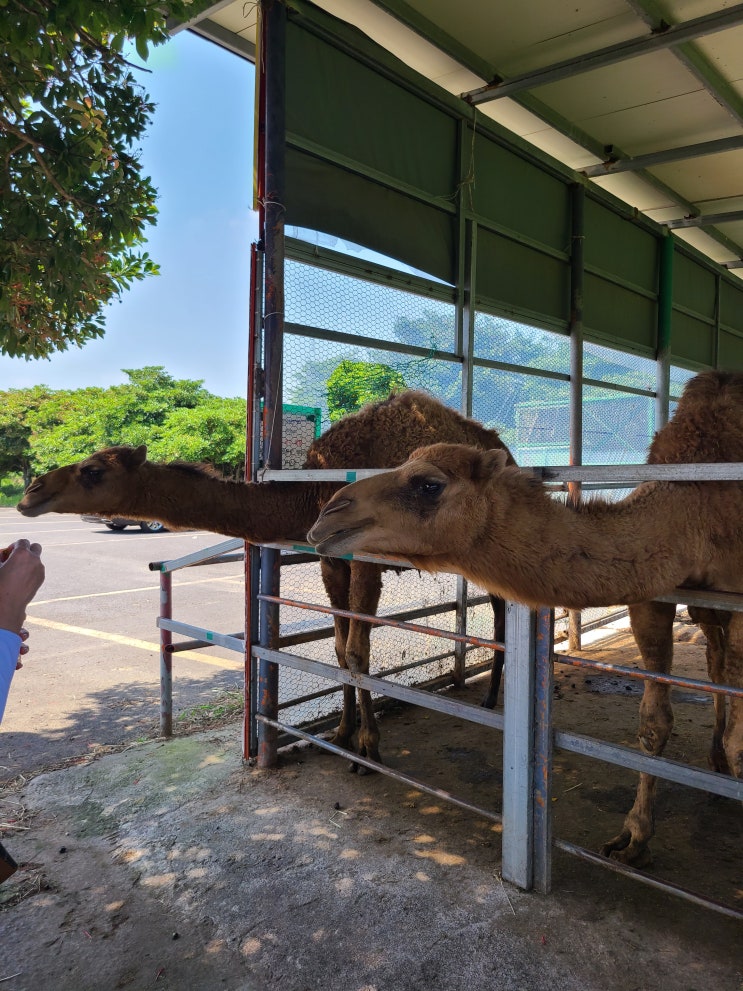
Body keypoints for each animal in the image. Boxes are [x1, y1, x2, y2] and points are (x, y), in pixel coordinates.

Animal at [18, 388, 516, 768]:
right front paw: (341, 733)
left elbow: (359, 652)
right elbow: (340, 649)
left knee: (502, 612)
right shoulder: (330, 560)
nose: (29, 493)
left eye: (92, 471)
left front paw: (367, 750)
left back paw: (494, 699)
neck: (311, 493)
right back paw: (491, 696)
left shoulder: (366, 558)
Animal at [306, 372, 743, 860]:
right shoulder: (654, 596)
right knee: (715, 663)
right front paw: (632, 837)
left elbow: (738, 744)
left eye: (428, 484)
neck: (695, 508)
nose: (327, 515)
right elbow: (653, 723)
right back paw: (713, 763)